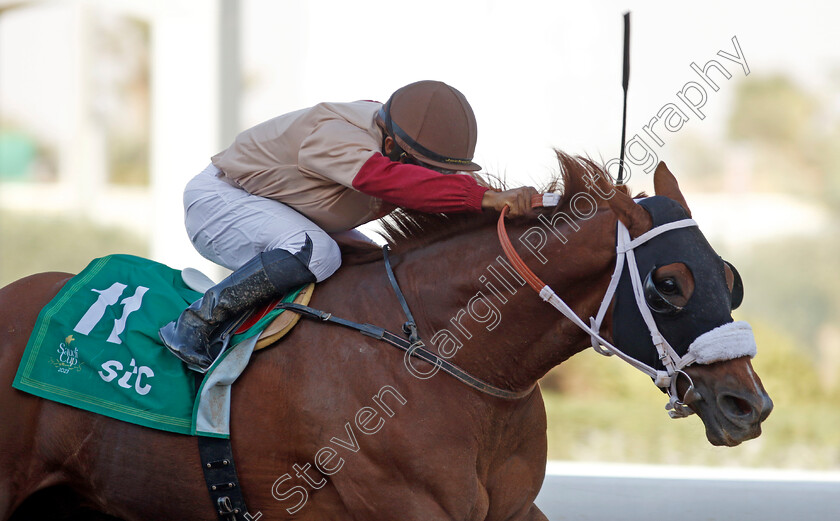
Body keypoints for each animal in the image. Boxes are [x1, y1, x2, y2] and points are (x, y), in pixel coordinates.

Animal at [1, 154, 776, 520]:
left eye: (730, 277)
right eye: (669, 283)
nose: (749, 405)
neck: (435, 356)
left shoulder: (512, 507)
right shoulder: (404, 504)